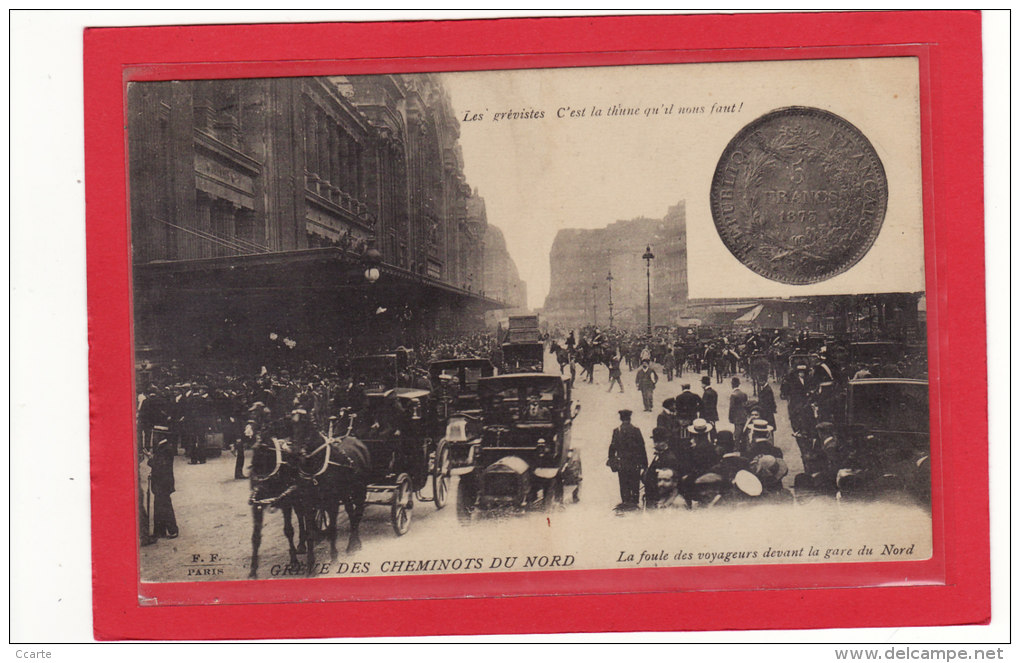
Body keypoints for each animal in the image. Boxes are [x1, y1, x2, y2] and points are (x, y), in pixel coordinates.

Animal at [246, 436, 306, 575]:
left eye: (266, 457)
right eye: (253, 463)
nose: (260, 487)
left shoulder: (286, 502)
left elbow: (288, 530)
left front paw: (294, 561)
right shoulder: (256, 506)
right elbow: (255, 536)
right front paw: (253, 570)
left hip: (297, 498)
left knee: (301, 516)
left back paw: (302, 544)